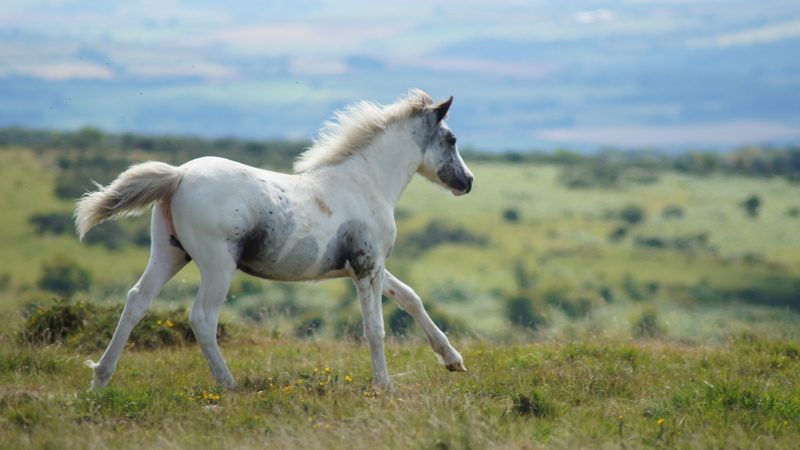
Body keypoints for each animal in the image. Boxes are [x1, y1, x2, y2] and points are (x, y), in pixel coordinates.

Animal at [74, 89, 474, 390]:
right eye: (451, 139)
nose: (468, 181)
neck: (365, 183)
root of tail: (179, 175)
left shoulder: (366, 267)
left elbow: (410, 297)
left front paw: (453, 360)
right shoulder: (367, 266)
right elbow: (375, 328)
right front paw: (384, 385)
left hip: (169, 253)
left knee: (137, 301)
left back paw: (100, 379)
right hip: (218, 265)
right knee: (203, 318)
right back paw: (228, 384)